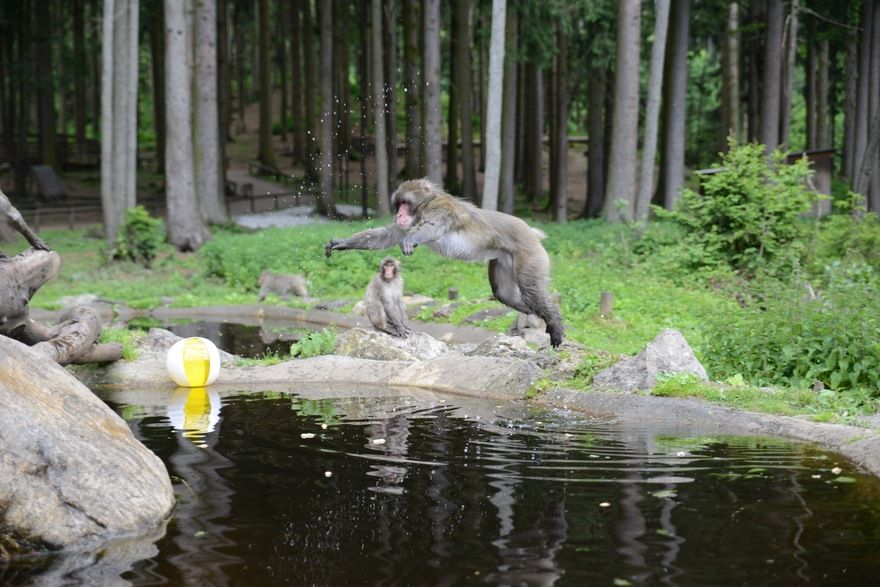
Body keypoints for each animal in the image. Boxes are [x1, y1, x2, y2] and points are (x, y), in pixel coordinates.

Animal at [324, 177, 564, 346]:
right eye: (398, 205)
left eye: (405, 203)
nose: (399, 214)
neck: (424, 205)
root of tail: (531, 232)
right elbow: (386, 236)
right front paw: (340, 243)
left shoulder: (440, 208)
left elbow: (432, 227)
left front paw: (410, 240)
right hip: (504, 257)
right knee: (503, 292)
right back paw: (532, 311)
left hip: (529, 253)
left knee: (530, 288)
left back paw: (553, 319)